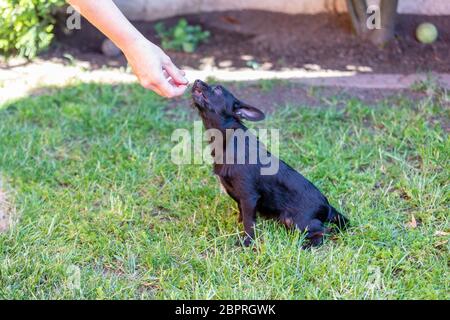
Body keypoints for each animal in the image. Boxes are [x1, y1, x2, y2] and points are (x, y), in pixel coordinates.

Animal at [190, 80, 348, 248]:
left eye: (218, 90)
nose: (197, 80)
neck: (227, 139)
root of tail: (328, 207)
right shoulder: (240, 198)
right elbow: (243, 215)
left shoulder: (249, 196)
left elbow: (249, 223)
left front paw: (247, 242)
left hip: (295, 220)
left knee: (324, 232)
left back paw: (305, 246)